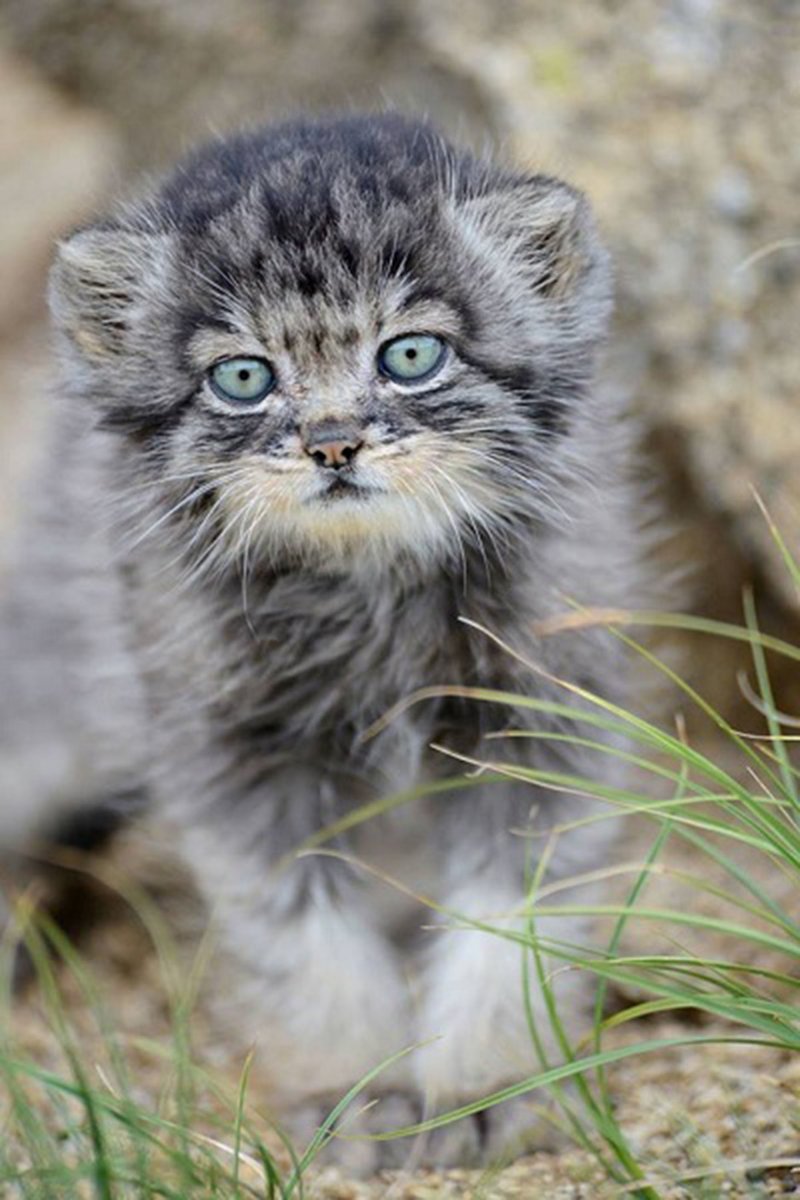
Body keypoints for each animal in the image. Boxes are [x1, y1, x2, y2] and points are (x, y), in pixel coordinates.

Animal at [0, 114, 642, 1171]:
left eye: (412, 355)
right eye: (243, 378)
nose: (333, 443)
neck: (365, 589)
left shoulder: (539, 716)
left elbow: (511, 924)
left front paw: (484, 1082)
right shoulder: (233, 753)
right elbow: (305, 942)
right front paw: (358, 1087)